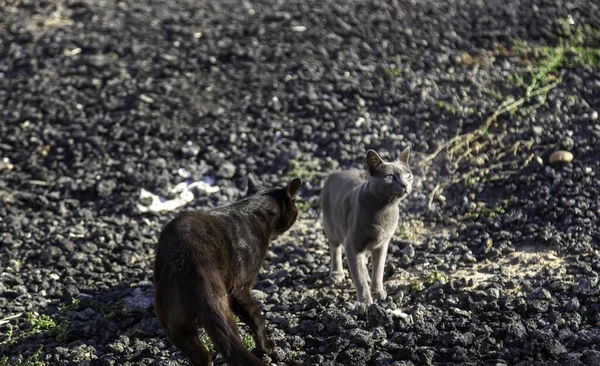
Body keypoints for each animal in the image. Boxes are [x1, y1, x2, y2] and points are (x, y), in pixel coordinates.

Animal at [154, 176, 300, 364]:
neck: (256, 210)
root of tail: (190, 259)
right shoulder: (240, 288)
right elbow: (255, 316)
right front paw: (266, 346)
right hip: (224, 311)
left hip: (174, 325)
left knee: (202, 355)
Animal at [324, 147, 412, 304]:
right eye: (389, 177)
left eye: (408, 175)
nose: (405, 184)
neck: (384, 207)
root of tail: (334, 172)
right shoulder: (351, 243)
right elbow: (358, 276)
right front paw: (365, 301)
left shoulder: (382, 244)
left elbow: (378, 270)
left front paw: (377, 292)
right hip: (332, 228)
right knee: (335, 248)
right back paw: (336, 273)